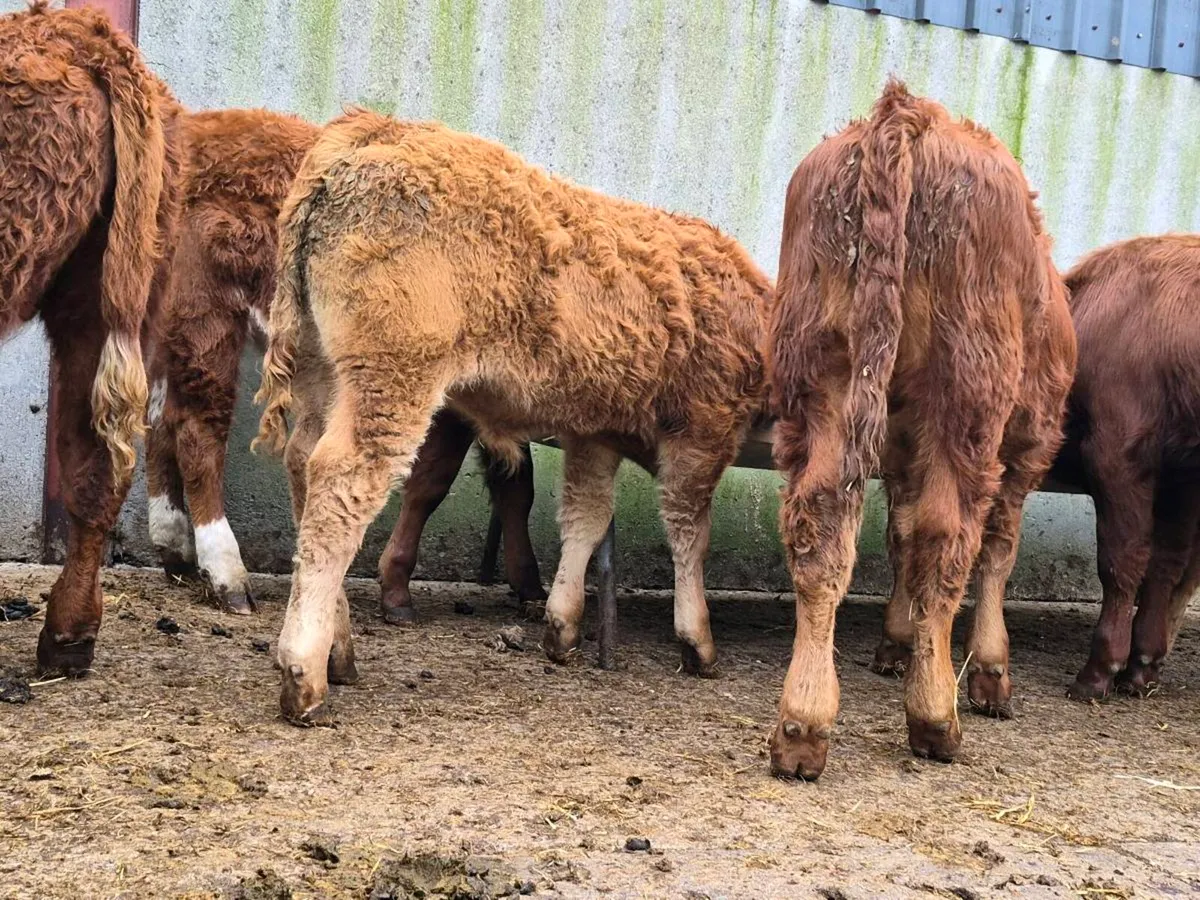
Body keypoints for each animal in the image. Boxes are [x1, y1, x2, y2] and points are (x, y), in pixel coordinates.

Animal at [145, 107, 546, 621]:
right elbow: (432, 481)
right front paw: (396, 591)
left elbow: (516, 484)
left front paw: (529, 584)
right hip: (205, 316)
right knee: (197, 431)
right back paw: (226, 573)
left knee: (159, 422)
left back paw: (175, 548)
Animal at [253, 109, 775, 723]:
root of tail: (380, 128)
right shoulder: (703, 432)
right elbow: (689, 533)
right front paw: (698, 640)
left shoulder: (595, 434)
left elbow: (586, 517)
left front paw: (561, 627)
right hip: (393, 379)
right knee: (341, 483)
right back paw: (304, 672)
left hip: (324, 373)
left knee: (302, 466)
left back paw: (341, 653)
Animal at [766, 80, 1076, 779]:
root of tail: (908, 113)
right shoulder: (1027, 452)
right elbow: (995, 551)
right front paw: (990, 670)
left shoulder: (903, 452)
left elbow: (898, 538)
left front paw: (895, 643)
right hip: (968, 398)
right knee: (948, 539)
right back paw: (935, 717)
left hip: (822, 382)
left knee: (820, 527)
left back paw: (803, 722)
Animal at [1045, 235, 1200, 701]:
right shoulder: (1179, 475)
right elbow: (1165, 563)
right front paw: (1142, 662)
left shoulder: (1117, 456)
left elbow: (1122, 560)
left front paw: (1100, 668)